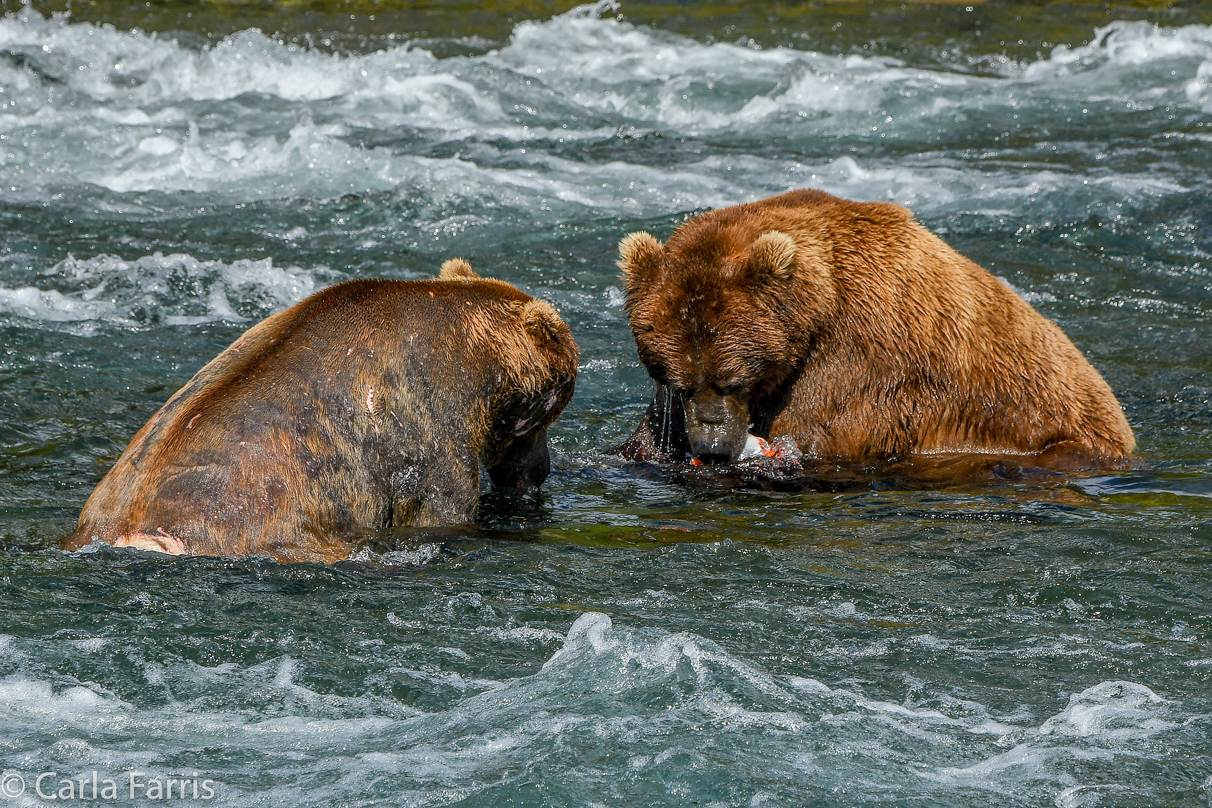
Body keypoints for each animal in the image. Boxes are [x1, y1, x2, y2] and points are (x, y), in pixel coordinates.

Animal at [615, 187, 1134, 474]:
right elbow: (647, 436)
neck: (819, 307)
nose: (713, 448)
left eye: (734, 379)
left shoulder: (866, 355)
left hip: (1052, 434)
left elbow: (821, 431)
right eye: (678, 381)